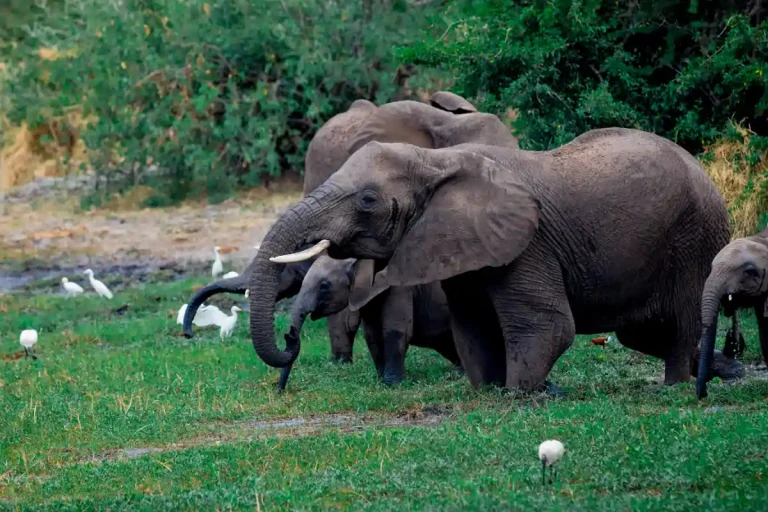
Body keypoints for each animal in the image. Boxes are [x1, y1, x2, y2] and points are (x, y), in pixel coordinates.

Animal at [276, 255, 461, 391]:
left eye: (323, 285)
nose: (279, 390)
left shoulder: (400, 288)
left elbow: (396, 331)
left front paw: (392, 385)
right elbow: (372, 335)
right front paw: (381, 381)